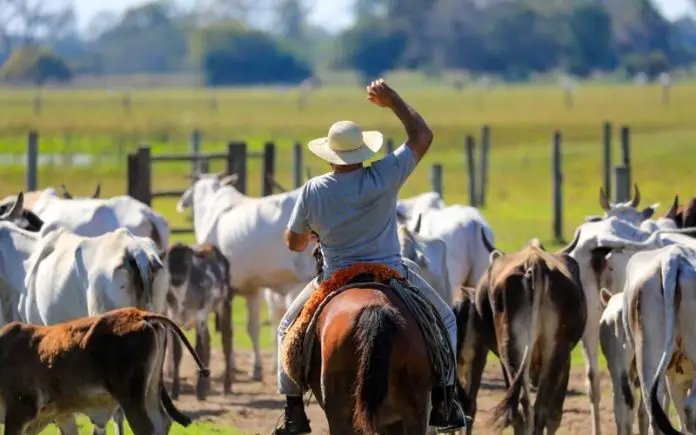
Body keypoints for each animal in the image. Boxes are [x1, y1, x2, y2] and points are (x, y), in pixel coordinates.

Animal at [0, 306, 208, 435]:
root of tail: (139, 314)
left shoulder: (19, 412)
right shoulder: (59, 415)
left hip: (132, 401)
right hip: (150, 393)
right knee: (163, 423)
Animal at [159, 242, 232, 402]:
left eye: (187, 261)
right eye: (168, 261)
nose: (177, 277)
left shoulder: (200, 318)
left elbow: (199, 349)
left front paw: (200, 392)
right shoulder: (173, 319)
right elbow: (177, 353)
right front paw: (175, 391)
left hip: (224, 304)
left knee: (226, 342)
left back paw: (227, 387)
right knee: (209, 341)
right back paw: (208, 384)